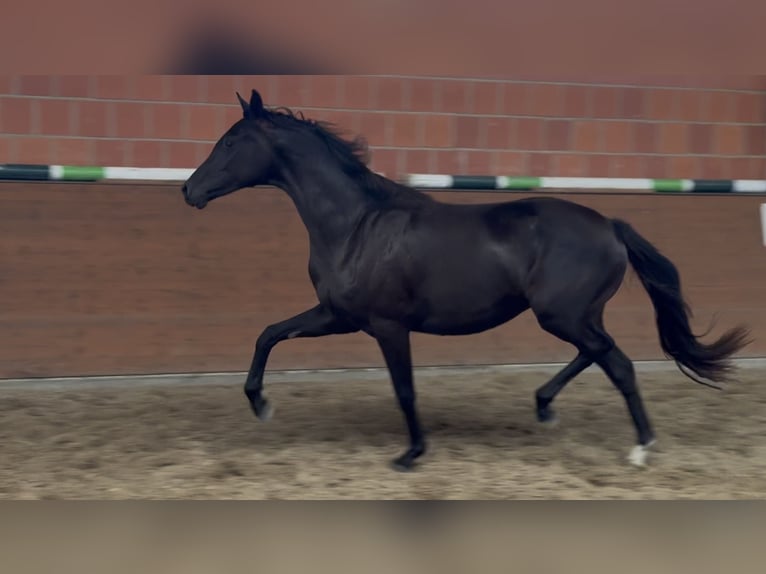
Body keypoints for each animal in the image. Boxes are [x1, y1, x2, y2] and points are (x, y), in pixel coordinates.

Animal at [181, 88, 752, 471]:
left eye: (232, 141)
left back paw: (638, 447)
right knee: (599, 354)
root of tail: (611, 225)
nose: (189, 190)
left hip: (561, 315)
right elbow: (269, 334)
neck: (357, 223)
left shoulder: (388, 325)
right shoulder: (337, 316)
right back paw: (547, 407)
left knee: (617, 363)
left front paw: (411, 453)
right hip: (573, 316)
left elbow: (405, 389)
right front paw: (260, 404)